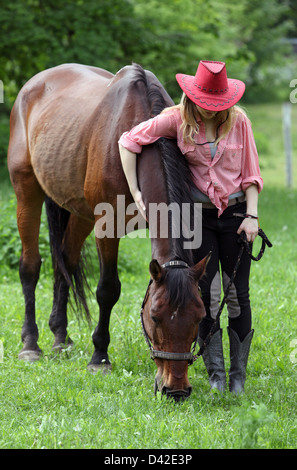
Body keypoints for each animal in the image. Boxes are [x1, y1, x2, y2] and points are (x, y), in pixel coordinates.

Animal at [6, 62, 207, 400]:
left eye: (199, 317)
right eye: (155, 316)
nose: (175, 389)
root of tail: (33, 84)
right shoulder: (106, 227)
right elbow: (108, 289)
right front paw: (99, 357)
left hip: (79, 211)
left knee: (65, 261)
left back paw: (60, 336)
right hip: (27, 191)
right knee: (30, 267)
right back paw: (31, 344)